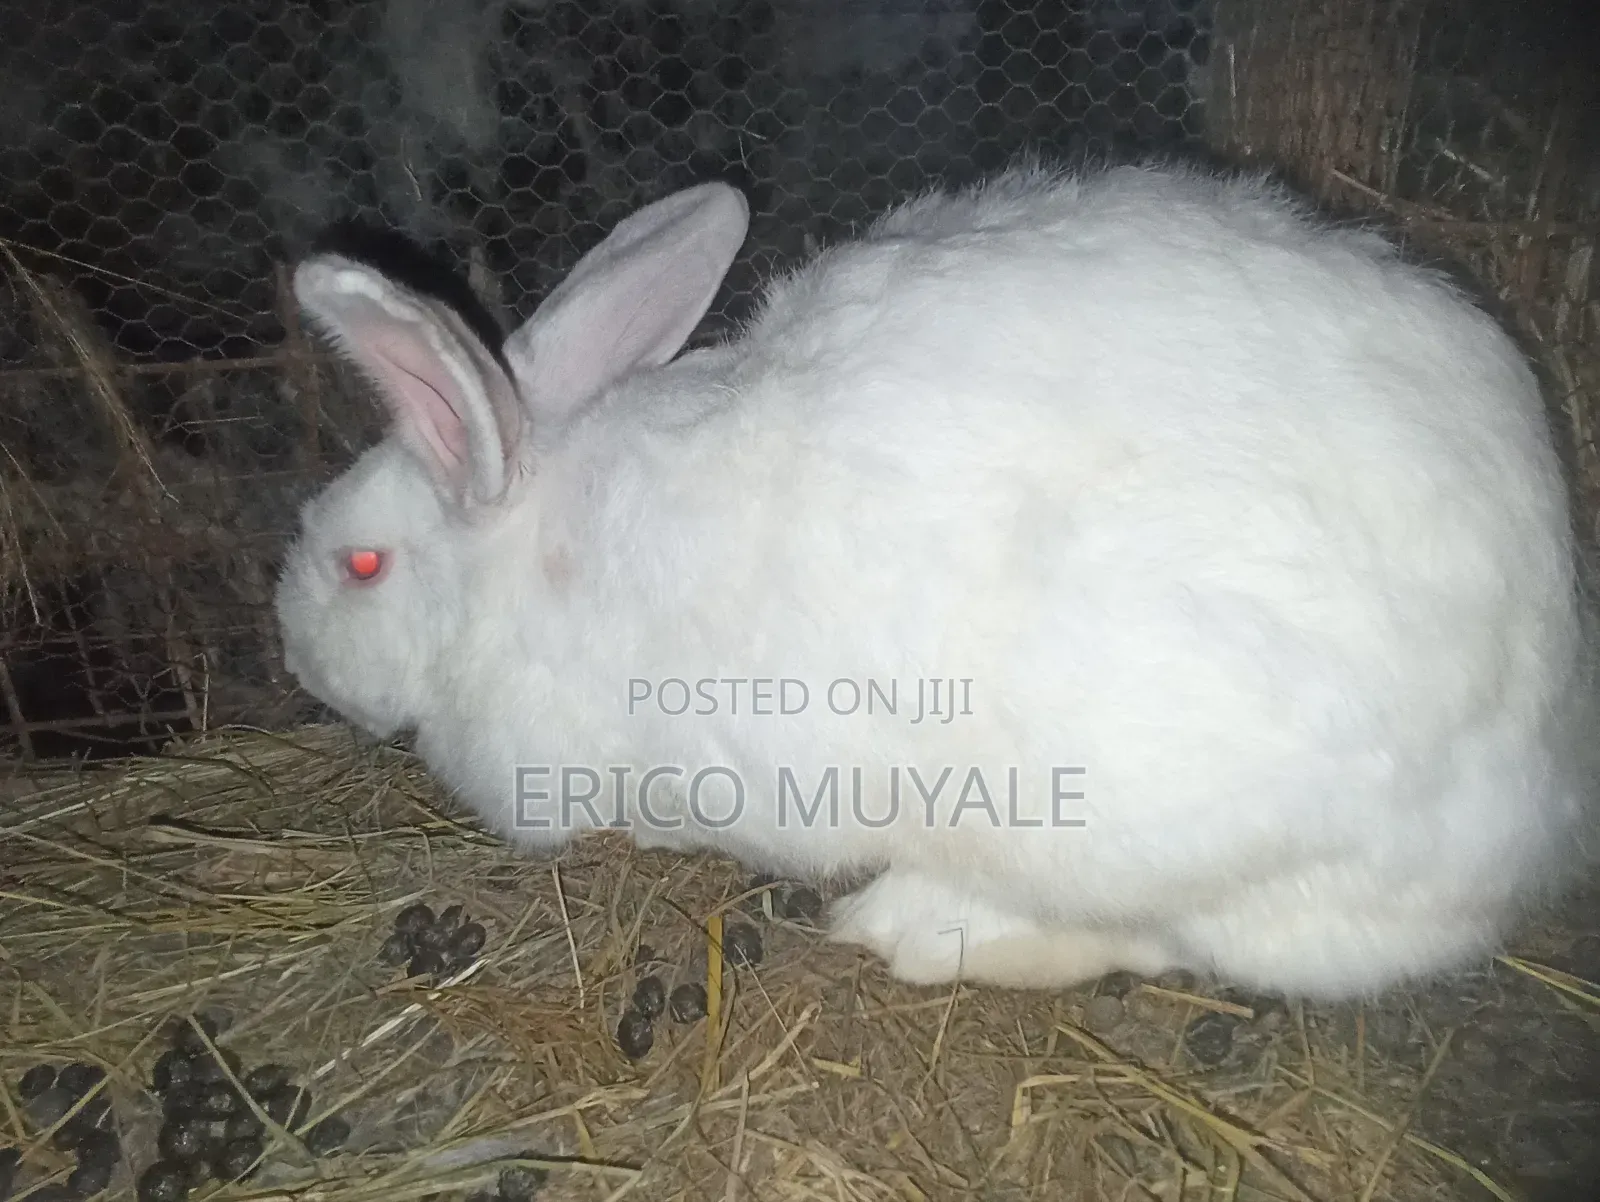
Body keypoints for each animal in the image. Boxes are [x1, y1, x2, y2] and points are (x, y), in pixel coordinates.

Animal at [274, 159, 1595, 1002]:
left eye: (361, 563)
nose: (289, 648)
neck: (529, 548)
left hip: (1147, 821)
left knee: (1173, 940)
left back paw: (909, 926)